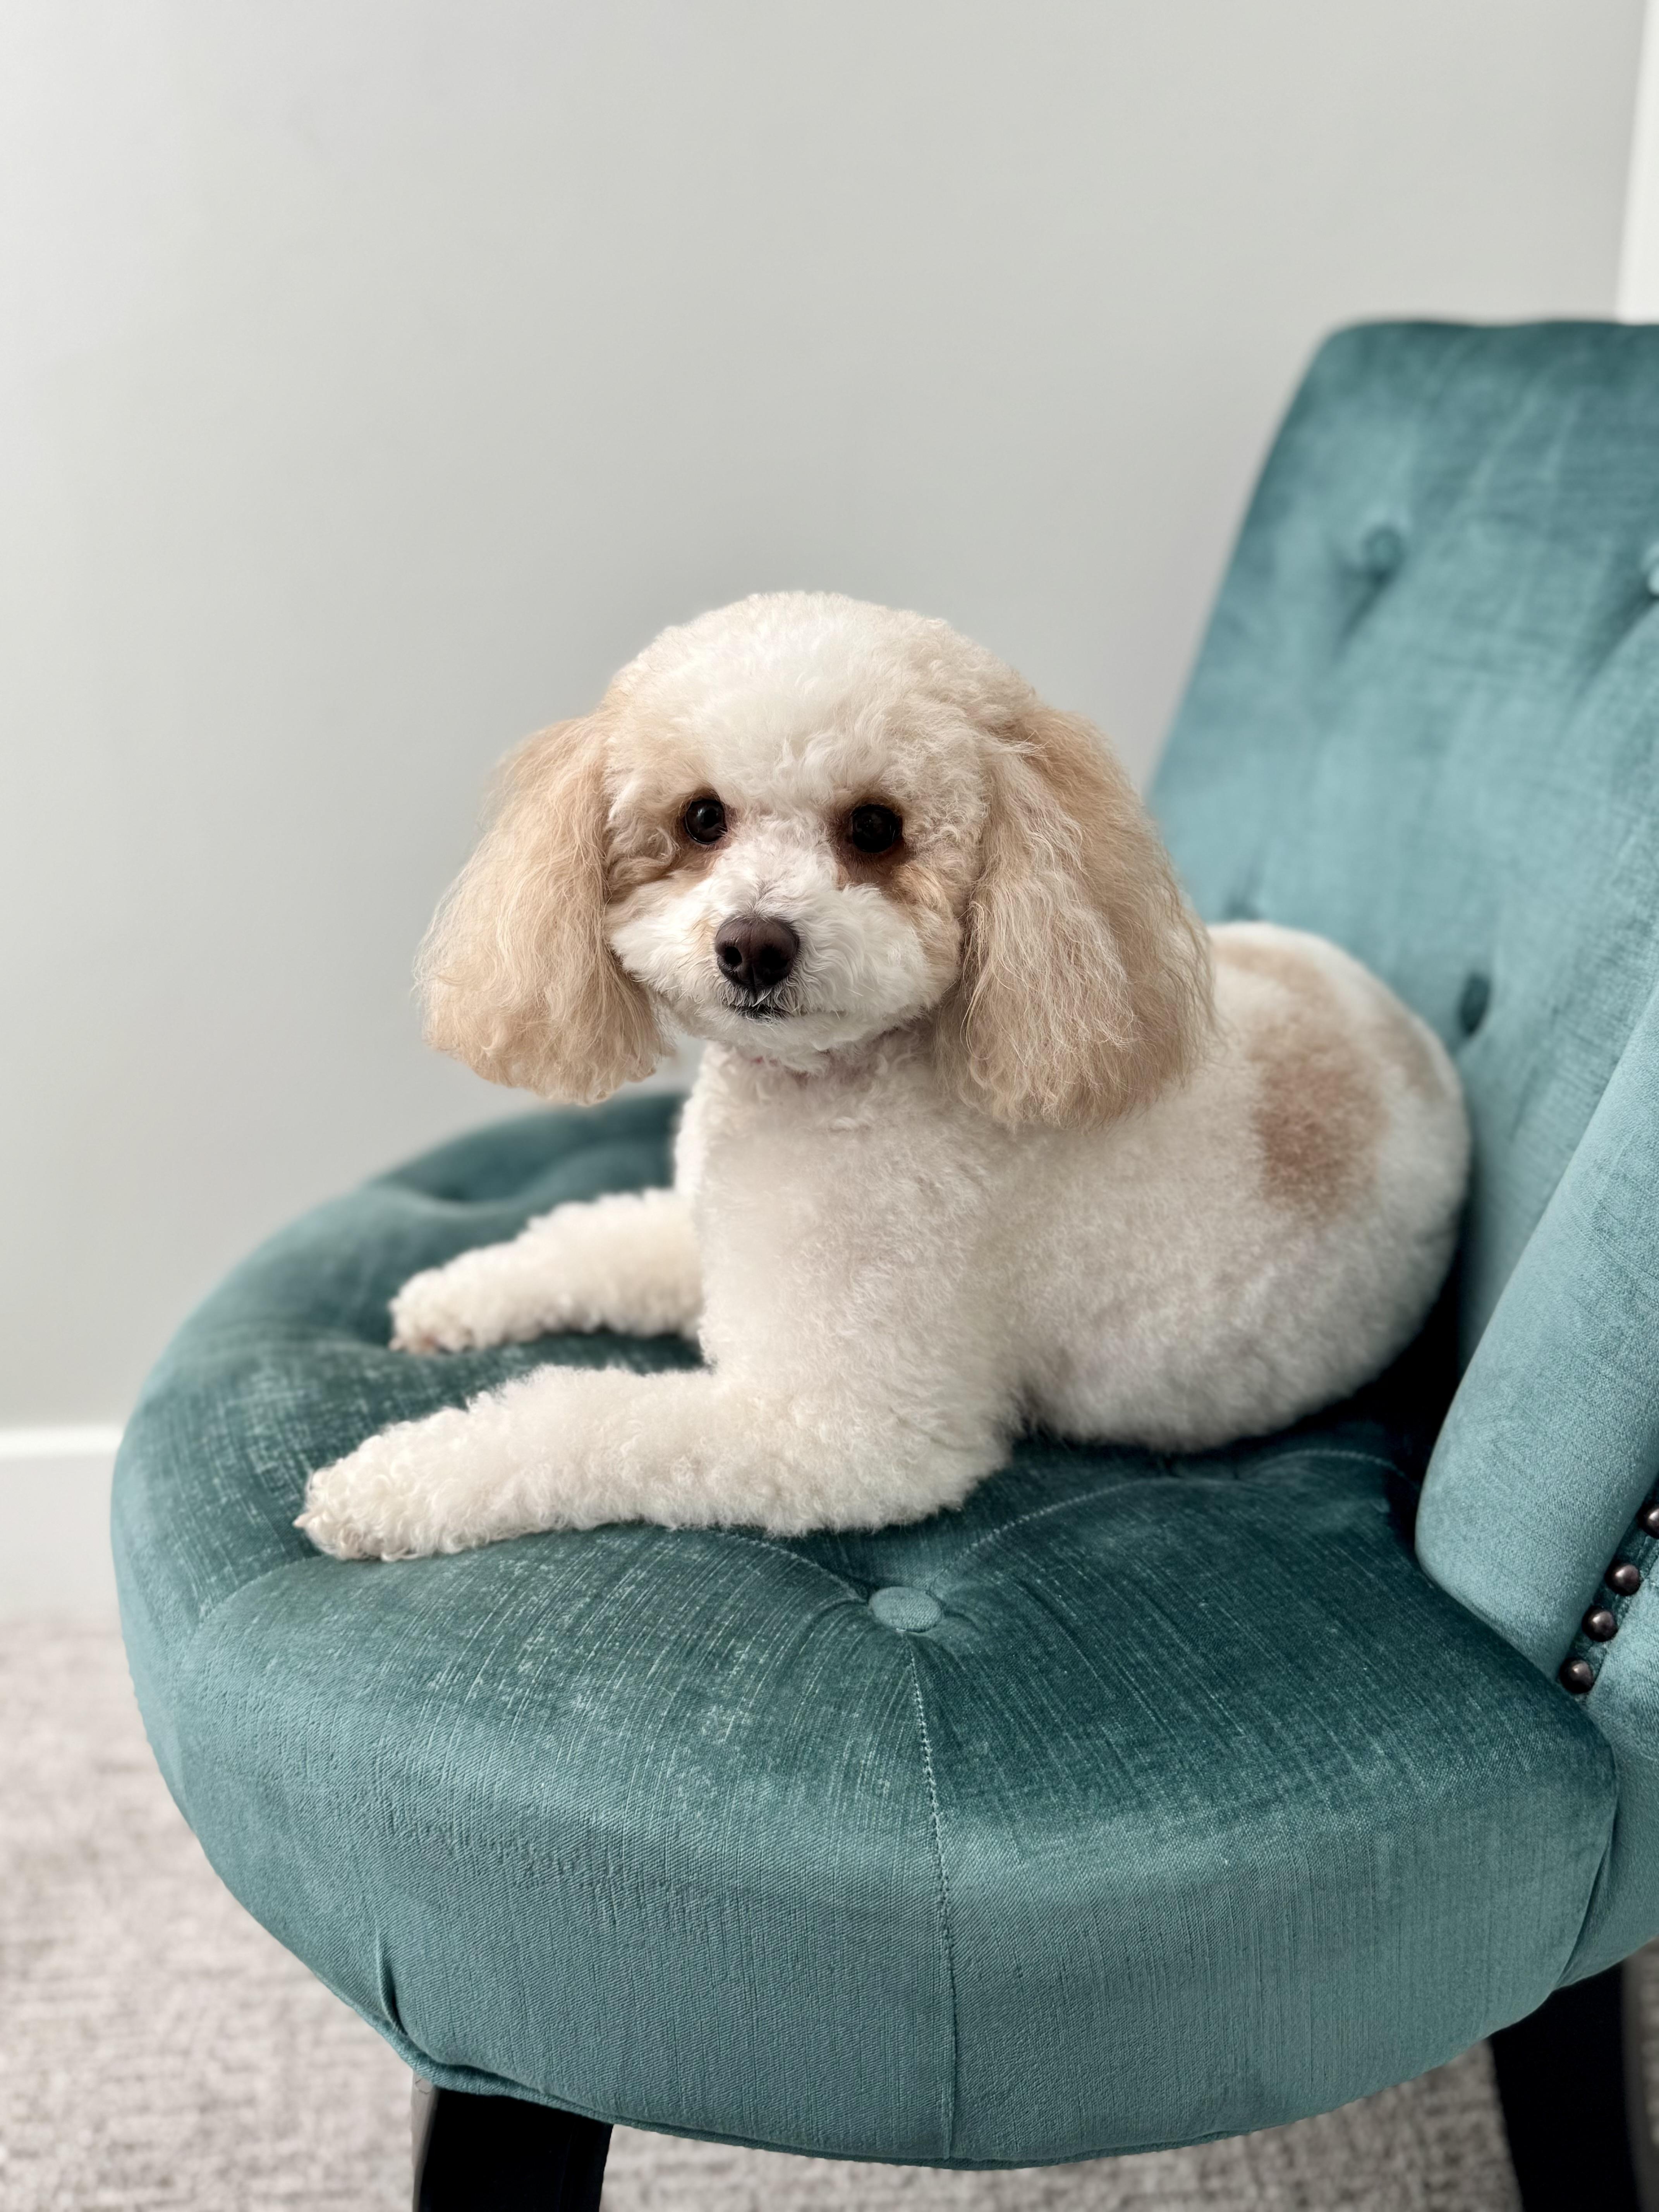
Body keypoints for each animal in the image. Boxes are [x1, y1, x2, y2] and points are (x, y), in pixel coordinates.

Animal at [297, 593, 1468, 1561]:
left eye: (874, 827)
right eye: (702, 819)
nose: (754, 946)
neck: (823, 1093)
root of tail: (1407, 1034)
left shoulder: (846, 1429)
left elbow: (589, 1421)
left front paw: (387, 1484)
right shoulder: (717, 1234)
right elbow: (594, 1237)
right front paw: (458, 1292)